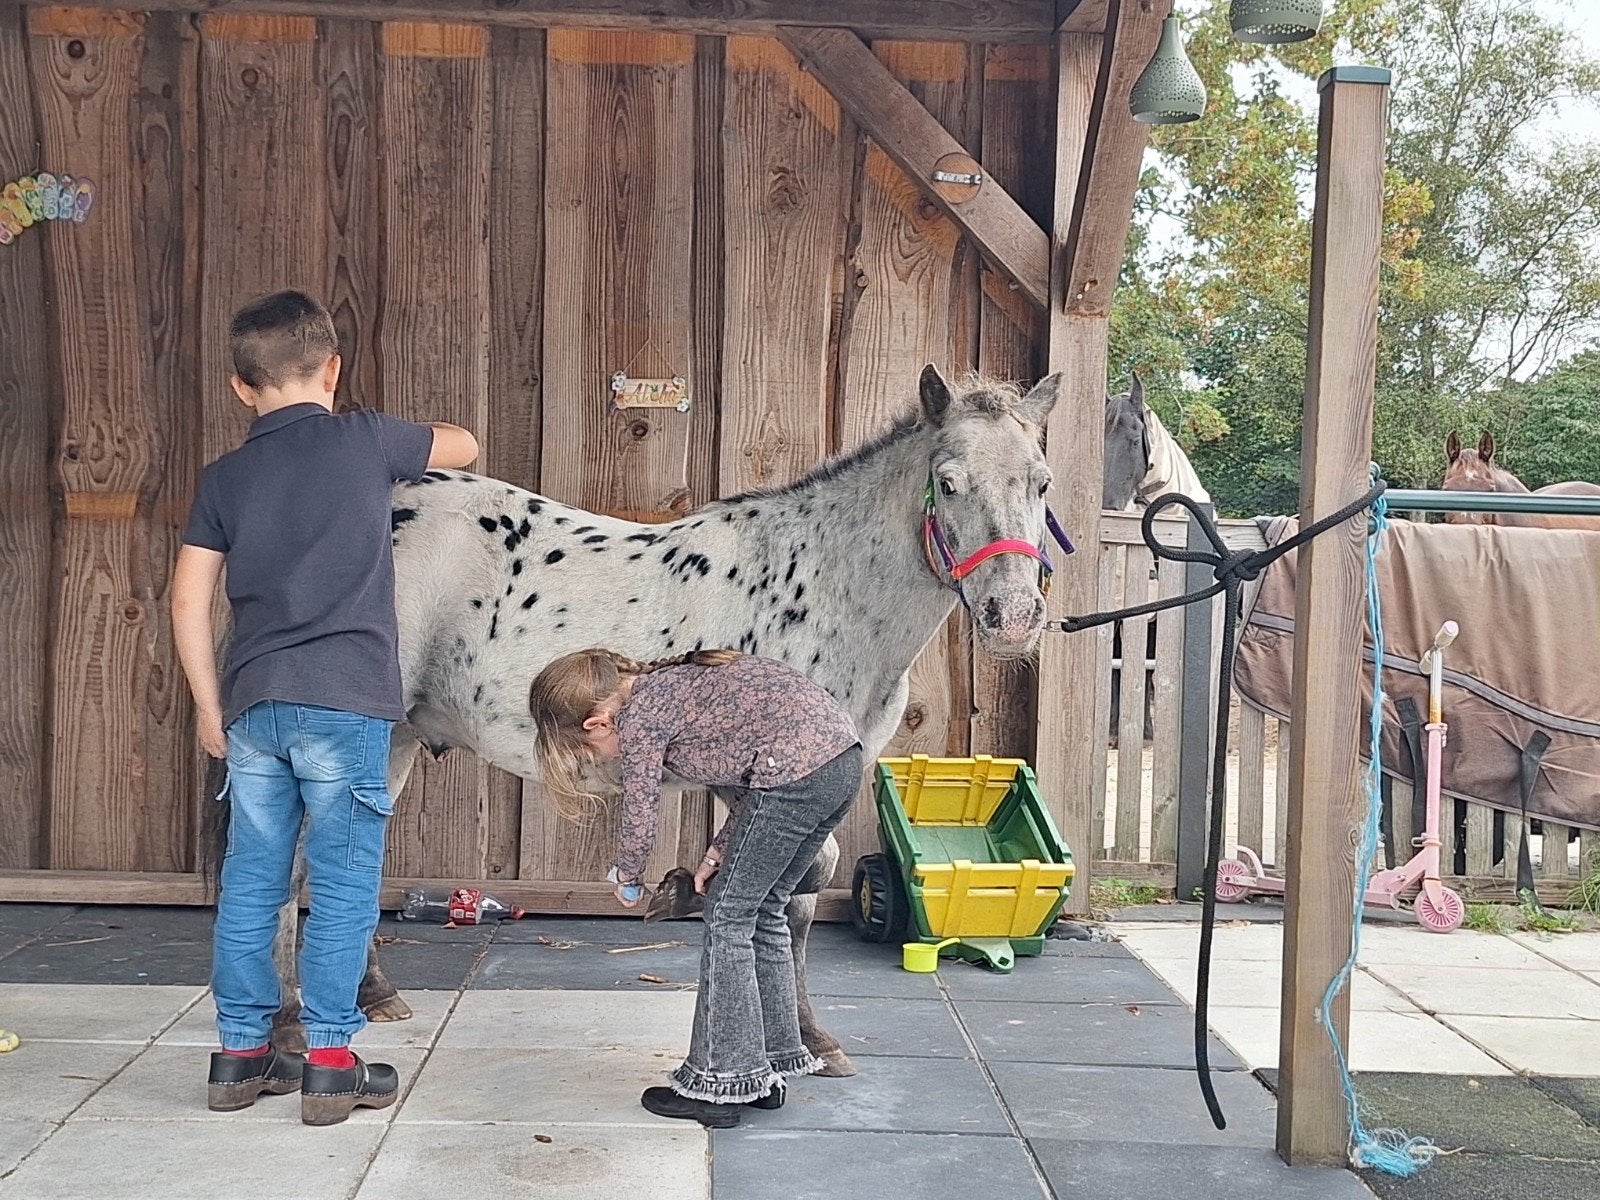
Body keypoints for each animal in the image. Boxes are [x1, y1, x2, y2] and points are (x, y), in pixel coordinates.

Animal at [212, 365, 1064, 1078]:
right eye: (948, 482)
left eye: (1043, 482)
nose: (1015, 618)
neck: (823, 586)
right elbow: (781, 893)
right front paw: (794, 1041)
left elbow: (795, 894)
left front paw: (808, 1038)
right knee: (297, 865)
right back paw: (290, 1027)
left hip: (391, 739)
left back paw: (373, 995)